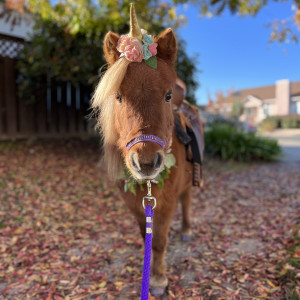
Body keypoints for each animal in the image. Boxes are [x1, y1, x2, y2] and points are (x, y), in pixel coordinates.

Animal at [94, 4, 196, 298]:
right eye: (117, 97)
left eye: (168, 95)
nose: (147, 162)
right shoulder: (136, 206)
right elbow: (146, 238)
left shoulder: (167, 203)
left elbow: (159, 242)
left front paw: (159, 279)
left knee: (187, 202)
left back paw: (186, 229)